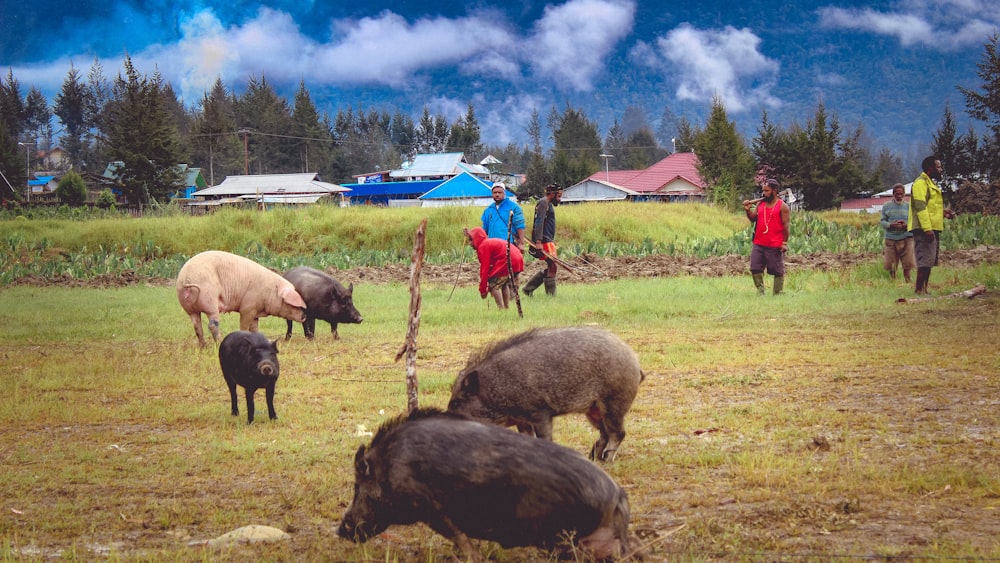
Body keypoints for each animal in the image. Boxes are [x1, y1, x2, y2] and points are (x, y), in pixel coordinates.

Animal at [176, 251, 306, 348]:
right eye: (294, 304)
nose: (304, 316)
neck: (270, 291)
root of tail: (186, 279)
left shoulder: (255, 311)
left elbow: (254, 328)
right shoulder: (247, 308)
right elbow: (244, 326)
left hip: (189, 308)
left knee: (197, 327)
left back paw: (204, 347)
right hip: (210, 302)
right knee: (212, 325)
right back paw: (219, 343)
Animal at [340, 408, 628, 560]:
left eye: (357, 487)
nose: (340, 529)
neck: (390, 465)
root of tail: (617, 496)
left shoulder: (431, 507)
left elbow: (459, 537)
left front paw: (471, 558)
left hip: (568, 540)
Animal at [448, 326, 648, 462]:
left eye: (458, 401)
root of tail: (636, 363)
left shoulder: (540, 412)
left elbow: (545, 438)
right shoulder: (522, 420)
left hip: (614, 403)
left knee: (618, 432)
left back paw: (606, 460)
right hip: (593, 410)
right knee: (605, 433)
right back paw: (593, 457)